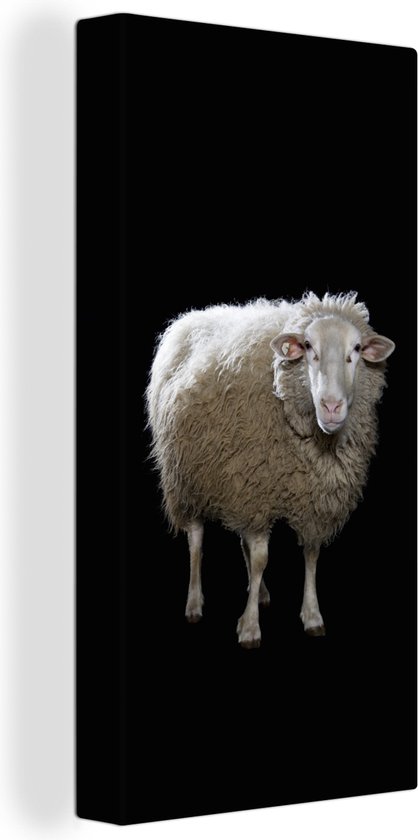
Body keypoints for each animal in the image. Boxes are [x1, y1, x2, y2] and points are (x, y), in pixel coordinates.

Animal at [146, 293, 395, 648]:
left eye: (357, 349)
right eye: (308, 346)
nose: (331, 406)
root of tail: (189, 318)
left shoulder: (301, 496)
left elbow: (311, 554)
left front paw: (312, 615)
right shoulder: (257, 491)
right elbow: (262, 557)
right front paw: (250, 627)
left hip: (235, 479)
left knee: (242, 543)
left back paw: (259, 591)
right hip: (184, 475)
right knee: (196, 539)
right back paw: (194, 603)